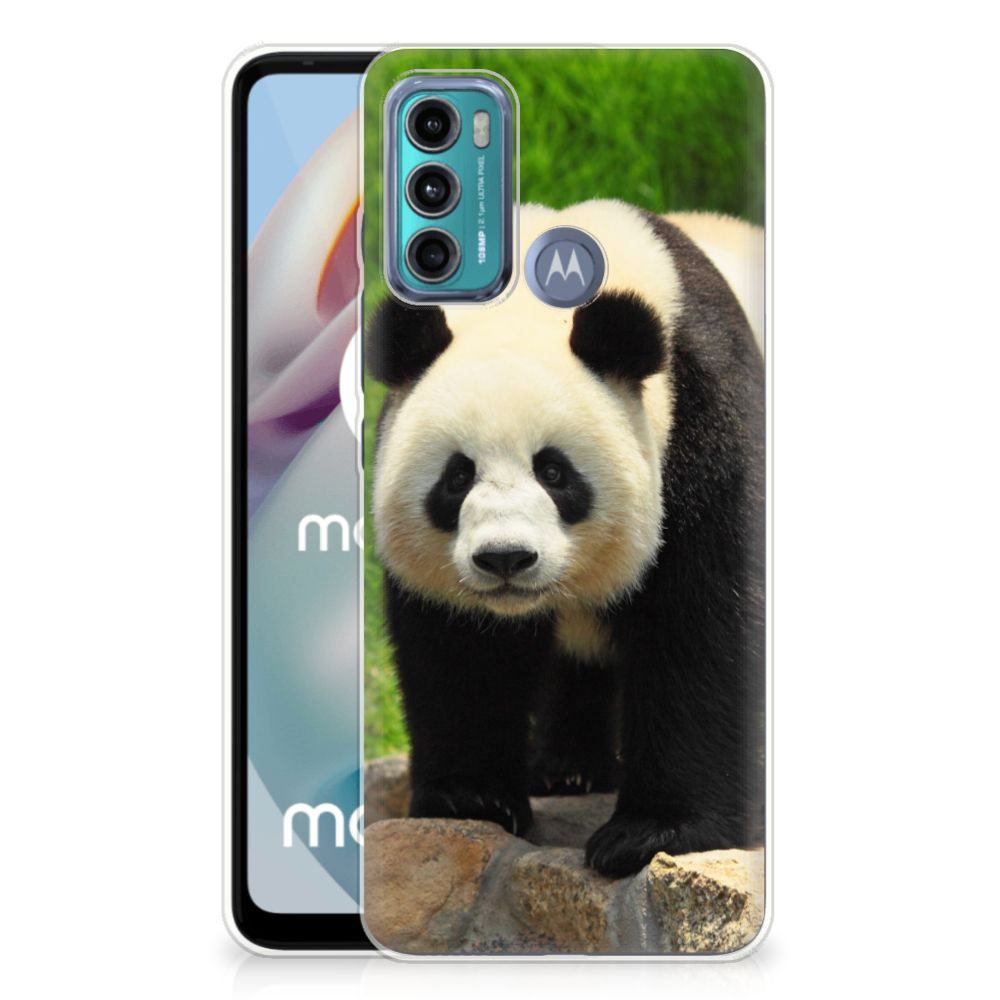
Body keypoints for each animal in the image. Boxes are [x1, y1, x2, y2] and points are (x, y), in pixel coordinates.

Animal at [366, 199, 765, 877]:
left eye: (553, 472)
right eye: (457, 476)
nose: (505, 558)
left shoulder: (704, 422)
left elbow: (703, 625)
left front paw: (653, 832)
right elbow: (458, 649)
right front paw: (473, 799)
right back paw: (568, 769)